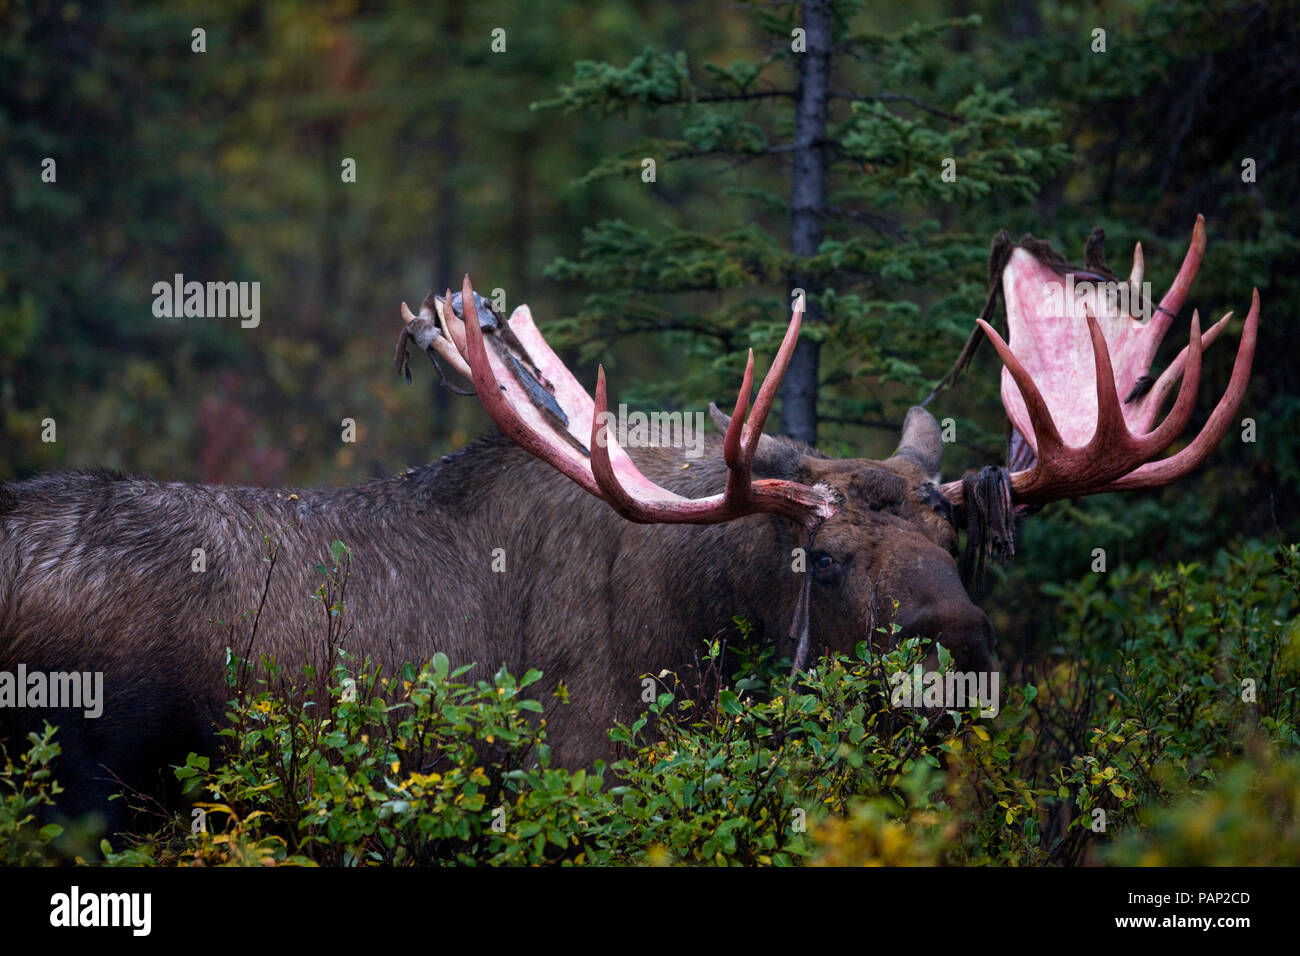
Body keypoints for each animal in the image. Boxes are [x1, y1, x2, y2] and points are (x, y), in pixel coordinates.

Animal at [0, 216, 1258, 833]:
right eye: (824, 558)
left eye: (959, 549)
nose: (959, 647)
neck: (711, 644)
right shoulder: (581, 781)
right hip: (88, 792)